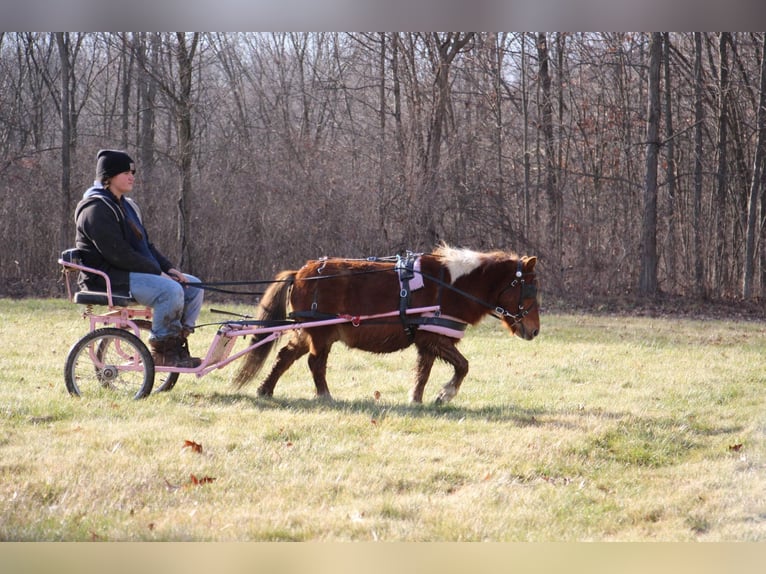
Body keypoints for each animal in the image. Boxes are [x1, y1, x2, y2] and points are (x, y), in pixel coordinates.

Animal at [234, 246, 540, 404]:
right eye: (529, 289)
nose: (535, 330)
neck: (451, 285)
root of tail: (300, 272)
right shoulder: (434, 338)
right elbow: (463, 366)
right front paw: (445, 394)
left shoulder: (428, 339)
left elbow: (423, 373)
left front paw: (417, 400)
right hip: (321, 333)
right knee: (315, 363)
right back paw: (325, 396)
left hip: (309, 332)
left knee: (285, 356)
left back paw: (265, 390)